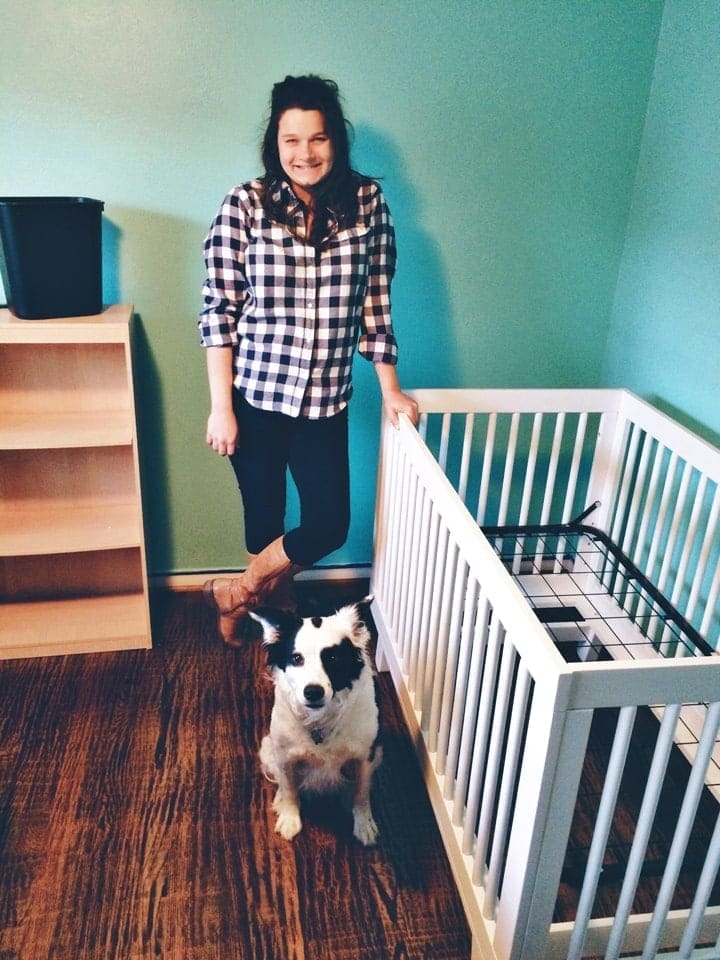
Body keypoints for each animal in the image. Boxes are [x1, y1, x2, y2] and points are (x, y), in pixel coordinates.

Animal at [249, 596, 382, 844]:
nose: (313, 692)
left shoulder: (366, 756)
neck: (320, 722)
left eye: (333, 658)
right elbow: (290, 789)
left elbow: (362, 793)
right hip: (268, 746)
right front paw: (289, 818)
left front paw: (364, 824)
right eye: (296, 658)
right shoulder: (285, 756)